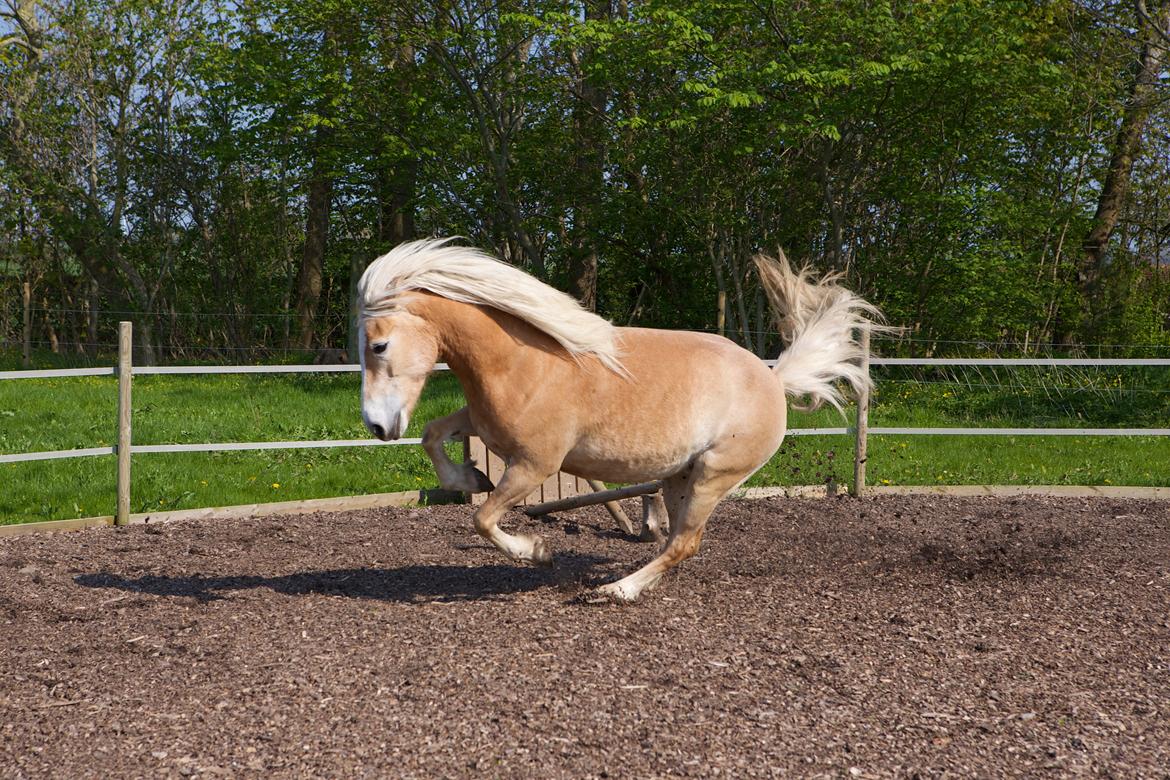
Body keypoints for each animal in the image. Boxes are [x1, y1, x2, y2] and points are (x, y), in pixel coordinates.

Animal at [355, 238, 879, 603]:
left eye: (379, 345)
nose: (377, 427)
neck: (523, 363)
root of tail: (772, 378)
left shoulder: (535, 466)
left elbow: (483, 519)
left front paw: (537, 552)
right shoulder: (481, 427)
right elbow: (432, 436)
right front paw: (470, 478)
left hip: (714, 476)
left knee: (685, 544)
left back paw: (616, 591)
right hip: (678, 477)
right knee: (673, 540)